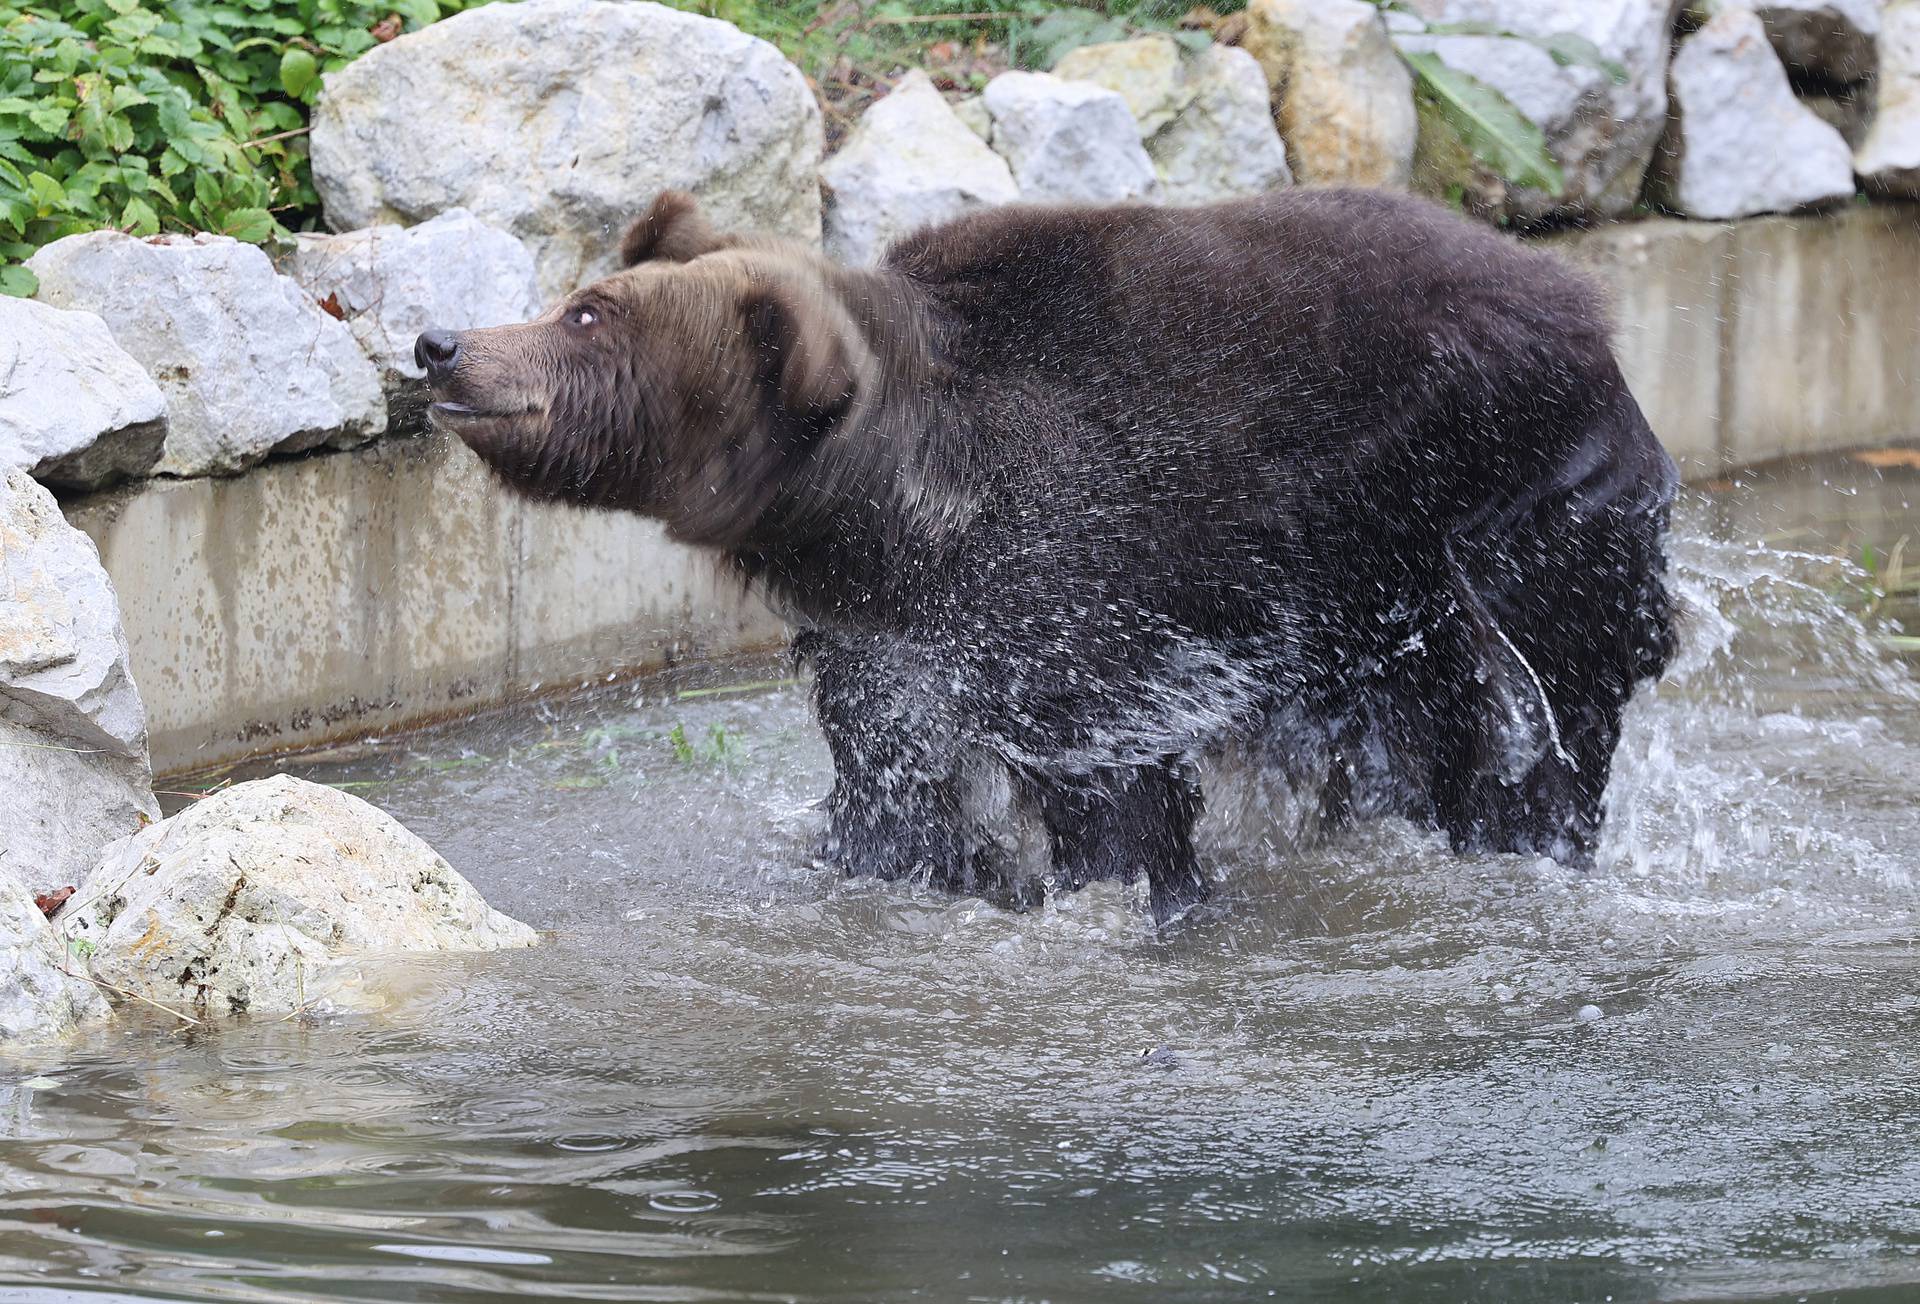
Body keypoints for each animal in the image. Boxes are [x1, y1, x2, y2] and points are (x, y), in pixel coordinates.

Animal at [416, 189, 1666, 921]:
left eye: (587, 313)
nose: (442, 342)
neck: (896, 512)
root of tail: (1591, 303)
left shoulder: (1083, 594)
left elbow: (1113, 797)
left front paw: (1126, 888)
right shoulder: (889, 642)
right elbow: (892, 784)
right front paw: (900, 861)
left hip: (1503, 514)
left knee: (1549, 701)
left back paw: (1526, 831)